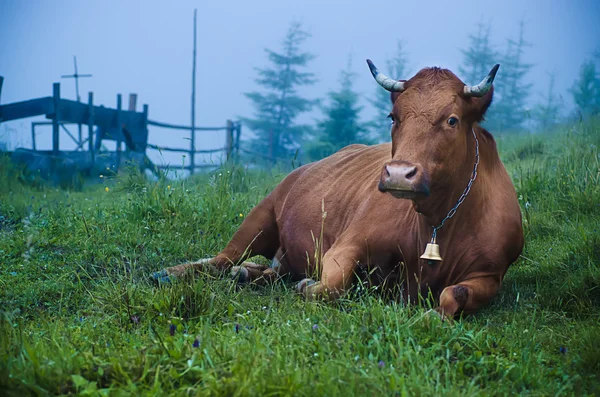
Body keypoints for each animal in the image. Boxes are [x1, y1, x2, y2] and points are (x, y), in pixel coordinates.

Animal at [152, 58, 524, 318]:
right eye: (393, 117)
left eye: (452, 120)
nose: (398, 174)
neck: (438, 224)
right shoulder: (348, 243)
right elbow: (330, 285)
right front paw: (309, 286)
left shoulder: (491, 274)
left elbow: (454, 294)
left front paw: (435, 314)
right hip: (261, 215)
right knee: (219, 260)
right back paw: (170, 273)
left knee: (265, 270)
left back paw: (247, 274)